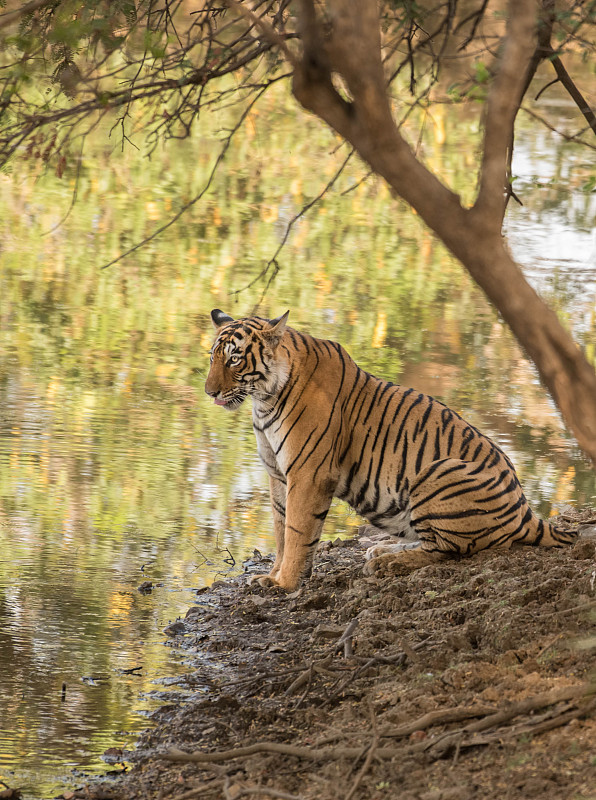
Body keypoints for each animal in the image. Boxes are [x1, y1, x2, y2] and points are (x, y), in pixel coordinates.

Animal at [204, 310, 576, 592]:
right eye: (213, 357)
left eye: (234, 360)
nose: (209, 392)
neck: (264, 399)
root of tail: (526, 510)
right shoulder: (278, 475)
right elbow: (281, 529)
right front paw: (271, 576)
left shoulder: (308, 474)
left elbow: (296, 532)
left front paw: (285, 583)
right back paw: (382, 550)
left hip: (439, 472)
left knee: (449, 550)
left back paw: (388, 563)